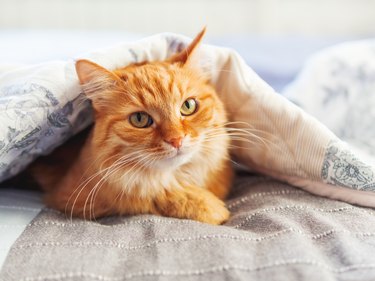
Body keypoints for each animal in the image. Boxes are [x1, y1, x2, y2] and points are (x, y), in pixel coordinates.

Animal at [33, 29, 232, 223]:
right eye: (139, 119)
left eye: (188, 106)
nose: (176, 140)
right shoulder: (71, 197)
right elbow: (149, 194)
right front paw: (208, 206)